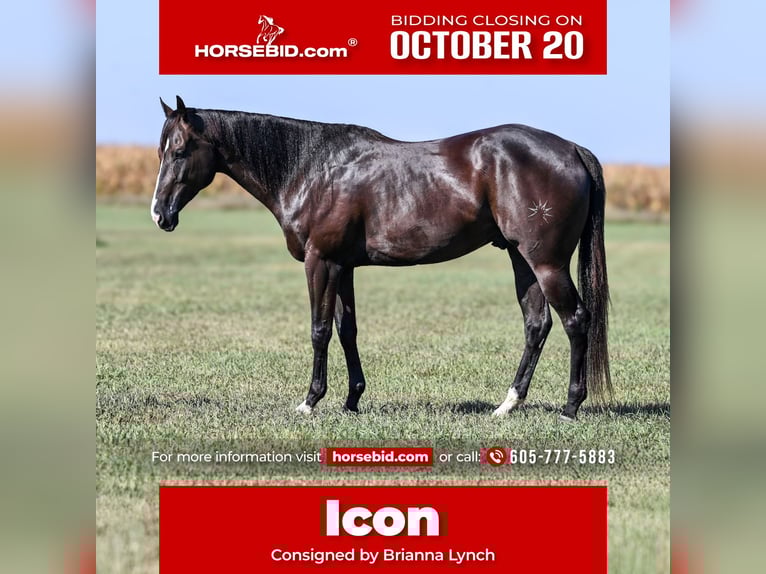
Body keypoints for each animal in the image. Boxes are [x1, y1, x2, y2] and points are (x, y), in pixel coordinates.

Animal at [151, 96, 612, 422]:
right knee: (537, 324)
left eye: (180, 151)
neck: (311, 169)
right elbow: (347, 330)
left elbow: (319, 331)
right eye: (160, 152)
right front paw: (351, 400)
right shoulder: (343, 266)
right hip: (521, 258)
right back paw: (507, 405)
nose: (159, 214)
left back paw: (571, 407)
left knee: (575, 320)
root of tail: (572, 149)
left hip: (546, 261)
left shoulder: (320, 262)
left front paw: (310, 401)